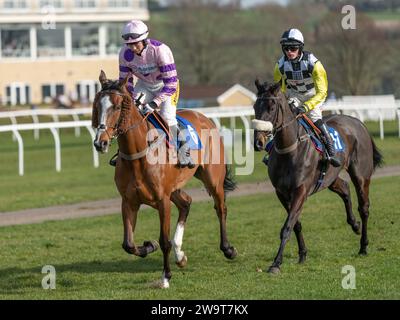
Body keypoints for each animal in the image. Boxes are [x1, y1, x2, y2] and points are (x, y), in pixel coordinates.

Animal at [92, 70, 236, 288]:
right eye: (97, 105)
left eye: (117, 106)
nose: (100, 142)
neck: (138, 155)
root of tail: (204, 118)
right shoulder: (129, 202)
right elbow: (128, 244)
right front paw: (149, 246)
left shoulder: (162, 201)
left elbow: (164, 240)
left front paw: (165, 276)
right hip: (174, 188)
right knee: (186, 203)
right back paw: (180, 255)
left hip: (212, 180)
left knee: (221, 208)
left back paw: (227, 248)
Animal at [252, 79, 382, 272]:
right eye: (255, 106)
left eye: (272, 106)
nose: (258, 142)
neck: (289, 150)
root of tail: (358, 122)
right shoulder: (281, 193)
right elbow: (296, 224)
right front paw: (302, 254)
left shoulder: (301, 190)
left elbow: (287, 226)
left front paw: (276, 263)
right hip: (330, 178)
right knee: (344, 188)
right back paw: (354, 224)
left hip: (361, 175)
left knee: (364, 208)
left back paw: (363, 245)